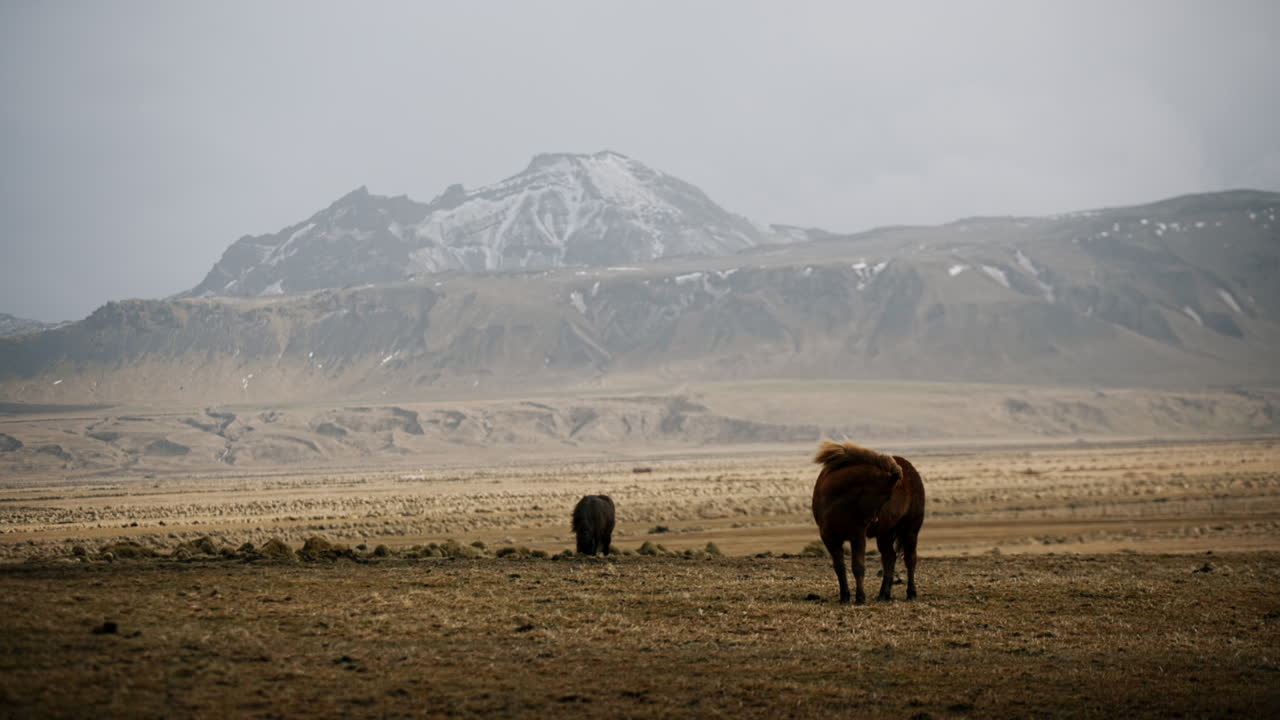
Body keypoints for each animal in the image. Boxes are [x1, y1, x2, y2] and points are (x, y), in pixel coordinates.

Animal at [811, 440, 925, 604]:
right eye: (886, 495)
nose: (872, 520)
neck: (836, 500)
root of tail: (912, 471)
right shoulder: (829, 537)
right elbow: (839, 567)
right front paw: (844, 597)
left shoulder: (857, 535)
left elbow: (858, 566)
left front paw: (860, 597)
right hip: (885, 533)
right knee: (889, 558)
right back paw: (884, 594)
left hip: (910, 529)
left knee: (910, 559)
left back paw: (911, 593)